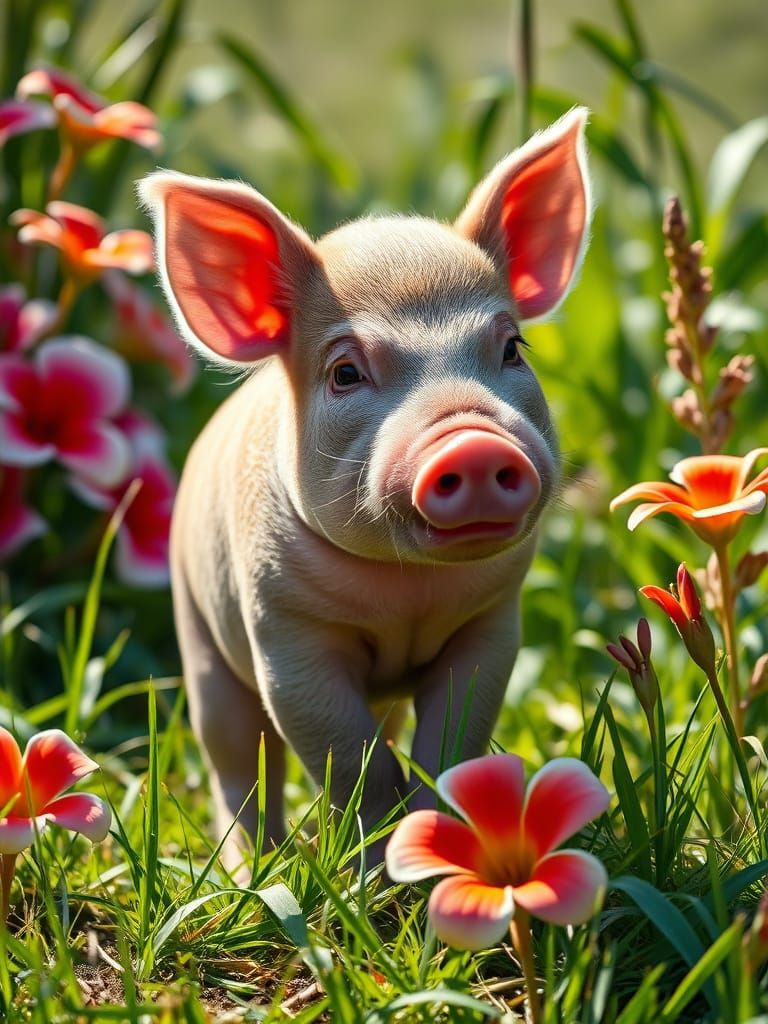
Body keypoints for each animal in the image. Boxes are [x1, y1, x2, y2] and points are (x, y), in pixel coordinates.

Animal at [138, 107, 592, 872]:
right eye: (345, 373)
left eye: (512, 349)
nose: (472, 441)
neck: (403, 593)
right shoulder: (285, 631)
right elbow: (350, 760)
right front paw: (373, 873)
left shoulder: (492, 621)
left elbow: (452, 745)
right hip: (196, 634)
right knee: (237, 761)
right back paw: (251, 868)